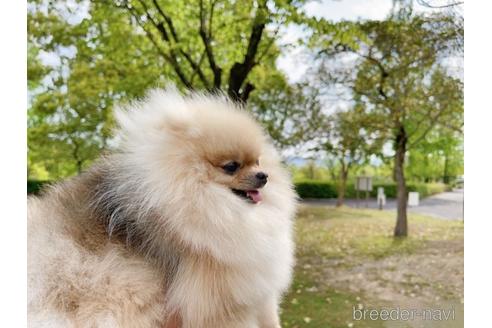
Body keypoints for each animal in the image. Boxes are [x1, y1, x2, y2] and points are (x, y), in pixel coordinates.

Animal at [27, 88, 296, 326]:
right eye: (231, 166)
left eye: (257, 161)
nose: (263, 176)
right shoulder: (220, 303)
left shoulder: (259, 293)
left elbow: (269, 316)